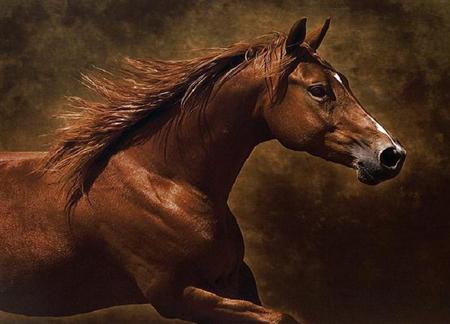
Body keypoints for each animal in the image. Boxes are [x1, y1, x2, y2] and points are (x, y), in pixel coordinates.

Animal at [0, 18, 406, 324]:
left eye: (345, 82)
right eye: (319, 90)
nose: (391, 154)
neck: (164, 181)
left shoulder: (232, 282)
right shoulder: (178, 295)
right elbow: (281, 318)